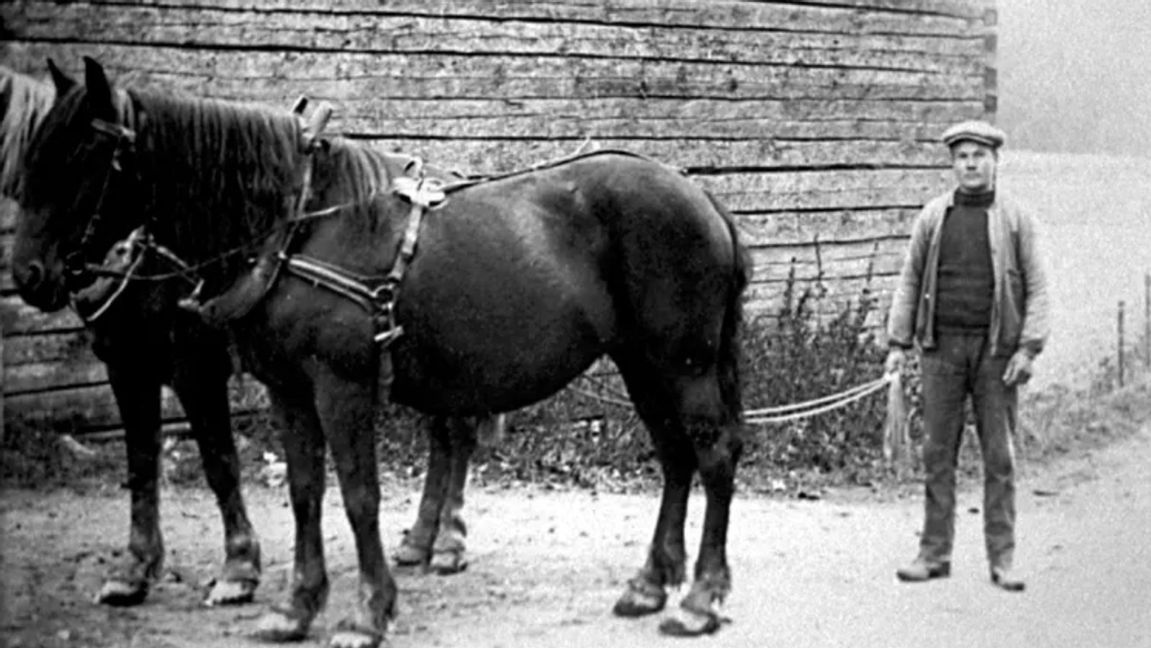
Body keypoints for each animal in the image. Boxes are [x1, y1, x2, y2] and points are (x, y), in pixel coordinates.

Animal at [13, 58, 750, 644]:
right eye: (29, 158)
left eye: (80, 159)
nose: (29, 274)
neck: (298, 227)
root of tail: (701, 195)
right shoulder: (287, 387)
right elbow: (306, 491)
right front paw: (296, 607)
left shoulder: (340, 385)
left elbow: (359, 495)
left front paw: (367, 613)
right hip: (641, 365)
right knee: (674, 456)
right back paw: (650, 582)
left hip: (682, 363)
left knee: (711, 454)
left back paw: (699, 597)